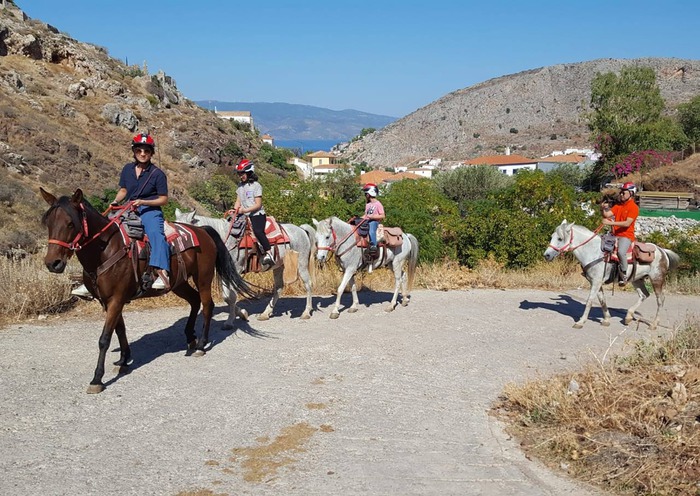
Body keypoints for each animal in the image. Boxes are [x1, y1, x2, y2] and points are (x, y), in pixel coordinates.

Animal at [41, 188, 254, 394]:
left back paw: (201, 344)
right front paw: (124, 360)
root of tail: (203, 231)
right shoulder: (109, 300)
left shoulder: (116, 299)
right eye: (48, 223)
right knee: (194, 301)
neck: (106, 250)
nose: (53, 263)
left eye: (70, 224)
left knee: (207, 305)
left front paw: (97, 379)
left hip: (202, 278)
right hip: (179, 283)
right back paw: (190, 338)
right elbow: (120, 329)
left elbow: (105, 338)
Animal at [175, 208, 318, 328]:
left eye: (185, 235)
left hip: (301, 264)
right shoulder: (225, 273)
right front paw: (242, 313)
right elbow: (226, 297)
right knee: (278, 288)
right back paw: (265, 313)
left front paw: (229, 321)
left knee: (308, 284)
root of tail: (301, 229)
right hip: (279, 266)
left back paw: (306, 312)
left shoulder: (236, 271)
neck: (225, 239)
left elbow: (232, 296)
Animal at [544, 220, 680, 330]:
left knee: (660, 299)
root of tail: (662, 251)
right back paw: (628, 317)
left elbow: (589, 301)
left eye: (560, 238)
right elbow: (602, 300)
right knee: (644, 295)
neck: (593, 251)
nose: (547, 255)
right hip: (637, 279)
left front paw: (581, 322)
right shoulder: (595, 282)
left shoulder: (596, 282)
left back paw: (654, 324)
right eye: (552, 236)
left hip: (657, 279)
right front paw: (606, 319)